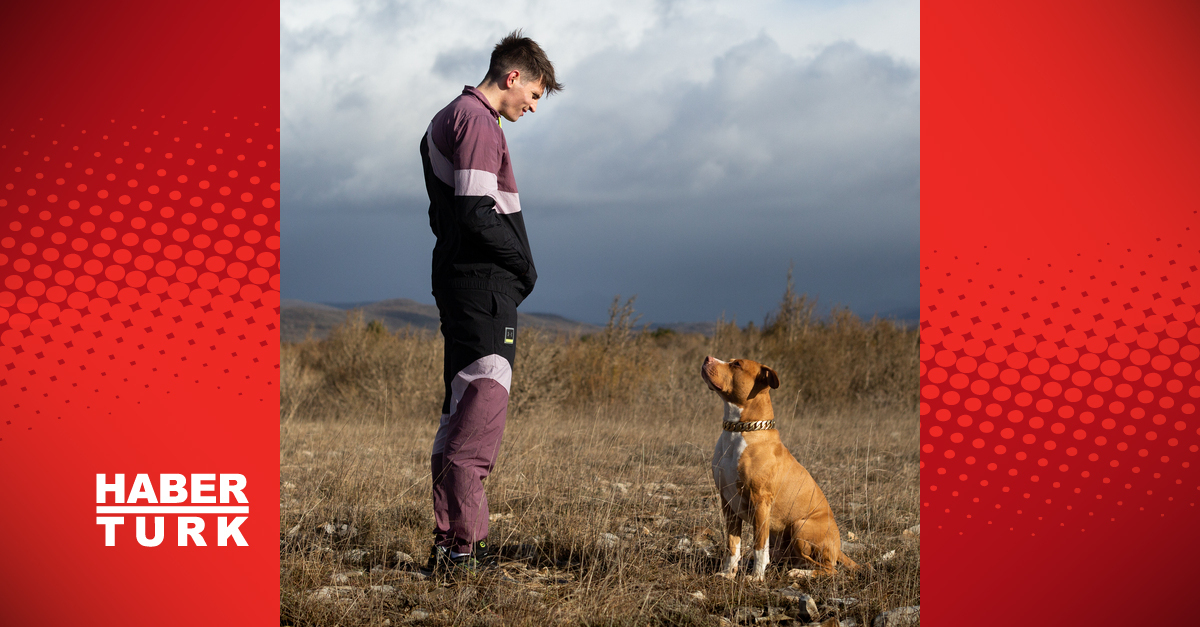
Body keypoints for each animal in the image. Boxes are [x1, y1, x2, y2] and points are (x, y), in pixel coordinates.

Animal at [700, 353, 859, 578]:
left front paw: (756, 577)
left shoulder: (760, 501)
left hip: (801, 526)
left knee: (828, 568)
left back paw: (798, 573)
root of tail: (839, 548)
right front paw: (728, 574)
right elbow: (733, 544)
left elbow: (759, 546)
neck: (740, 429)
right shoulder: (728, 501)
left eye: (737, 364)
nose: (708, 357)